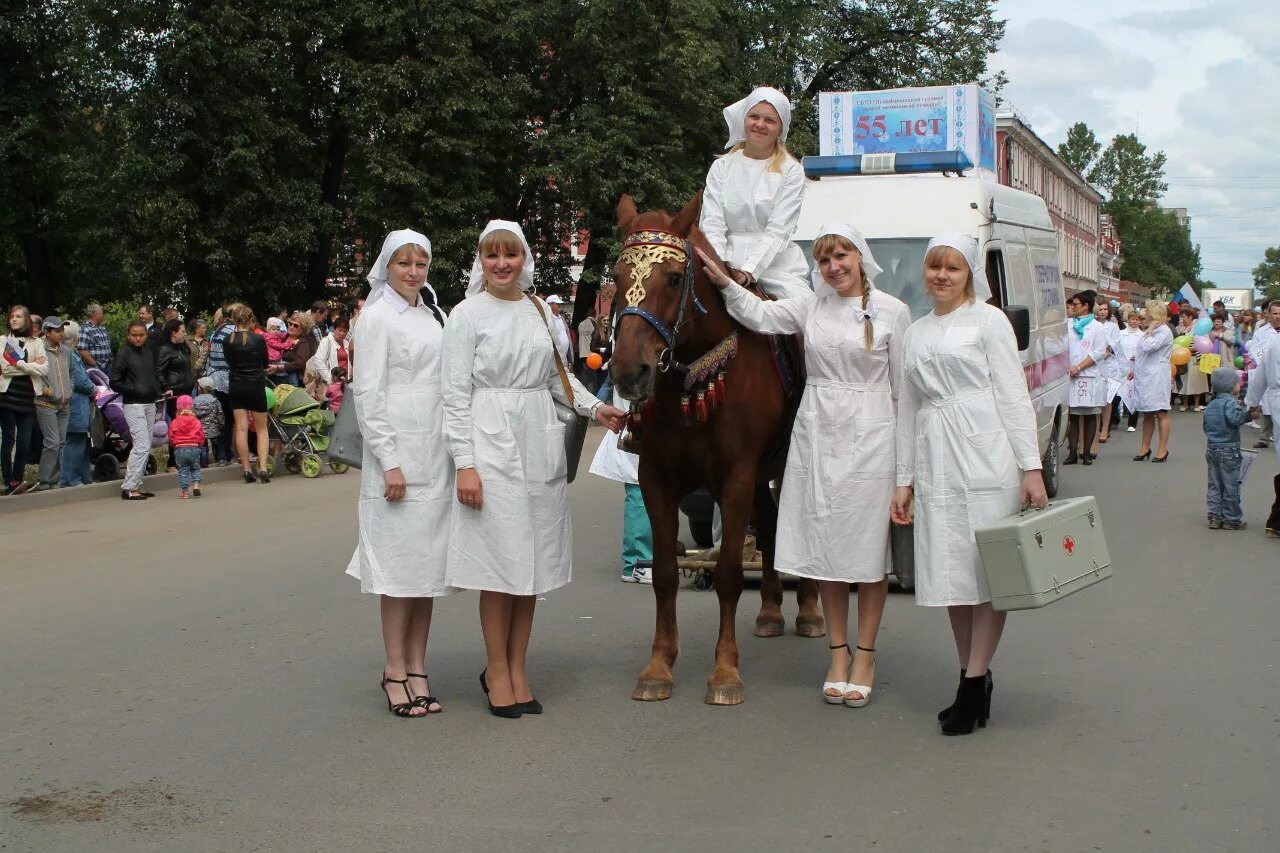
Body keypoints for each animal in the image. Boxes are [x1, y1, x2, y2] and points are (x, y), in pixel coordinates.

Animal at [606, 192, 819, 701]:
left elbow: (726, 573)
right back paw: (770, 611)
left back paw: (809, 611)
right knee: (772, 526)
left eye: (674, 277)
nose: (628, 372)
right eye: (616, 277)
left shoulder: (736, 477)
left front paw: (725, 671)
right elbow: (665, 571)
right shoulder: (656, 478)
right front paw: (658, 666)